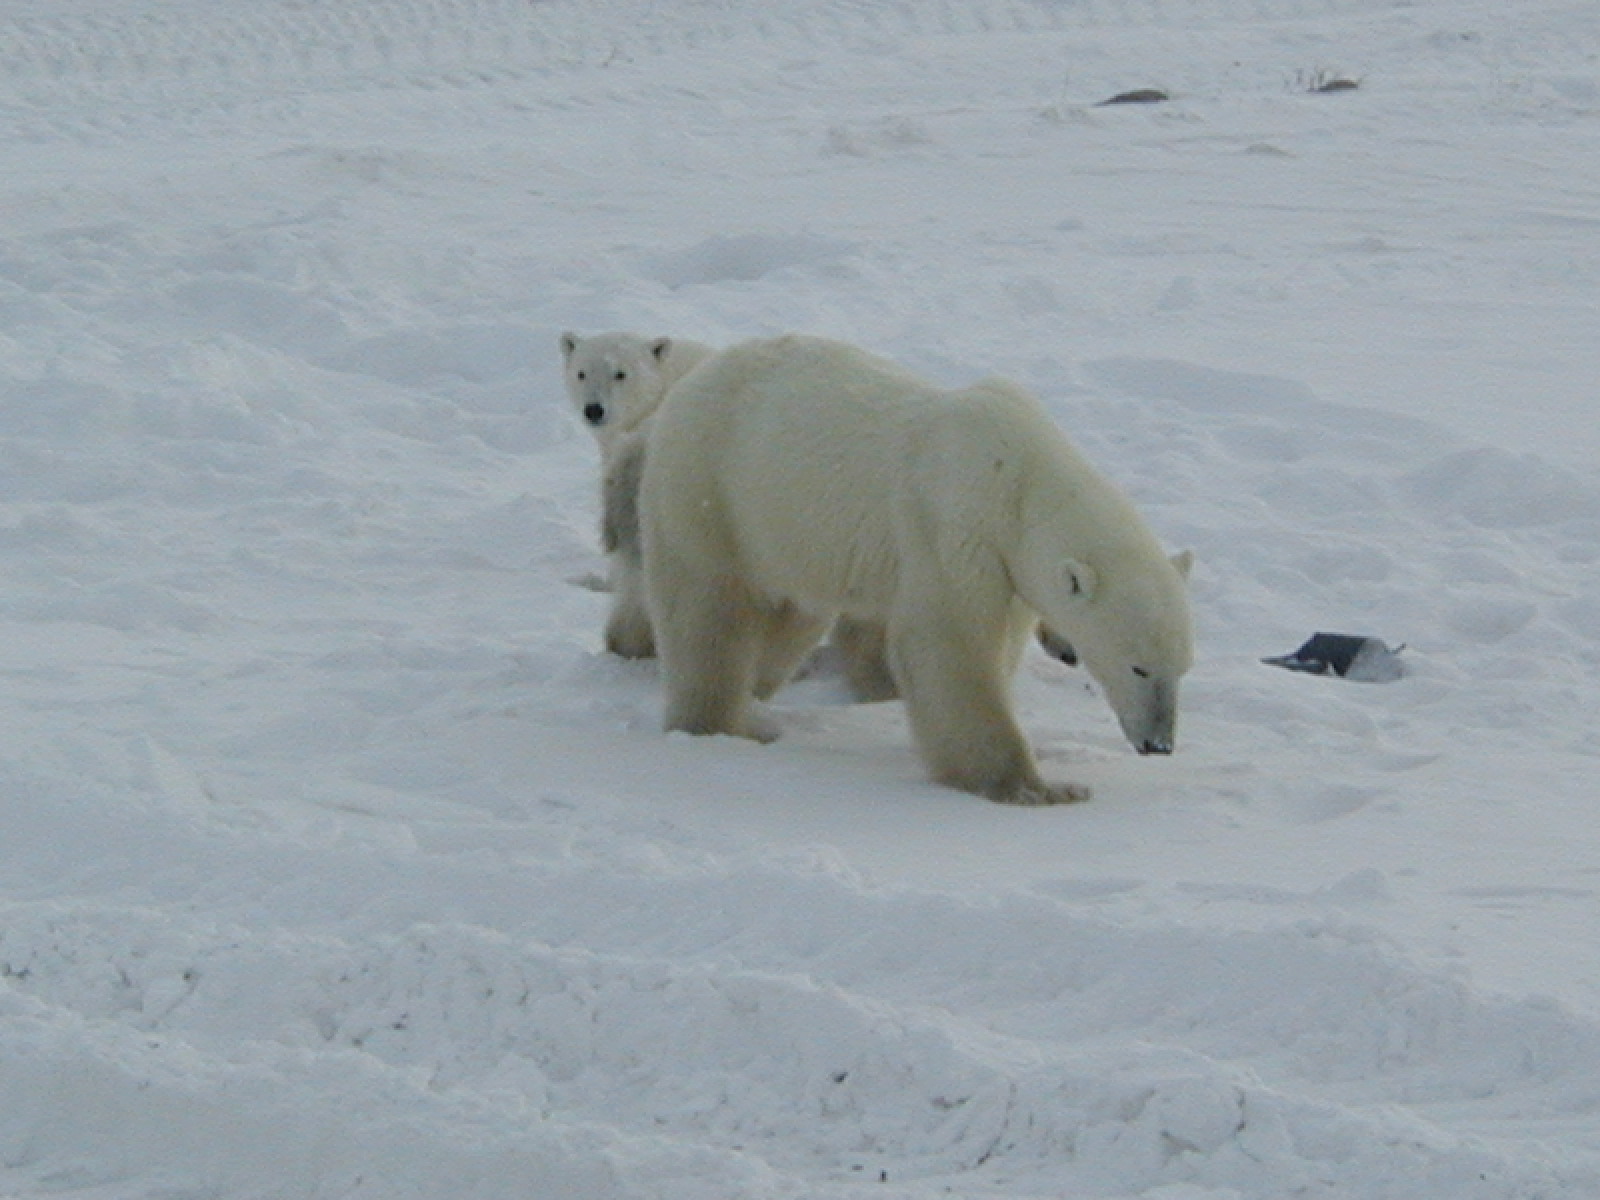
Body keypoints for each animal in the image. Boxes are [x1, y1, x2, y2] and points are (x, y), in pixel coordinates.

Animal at [643, 334, 1196, 809]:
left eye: (1181, 667)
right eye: (1138, 666)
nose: (1158, 744)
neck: (1019, 480)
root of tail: (695, 376)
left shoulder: (1010, 567)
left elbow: (998, 648)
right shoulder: (955, 525)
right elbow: (951, 646)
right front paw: (1038, 788)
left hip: (784, 531)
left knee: (792, 615)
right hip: (709, 489)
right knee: (708, 614)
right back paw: (722, 722)